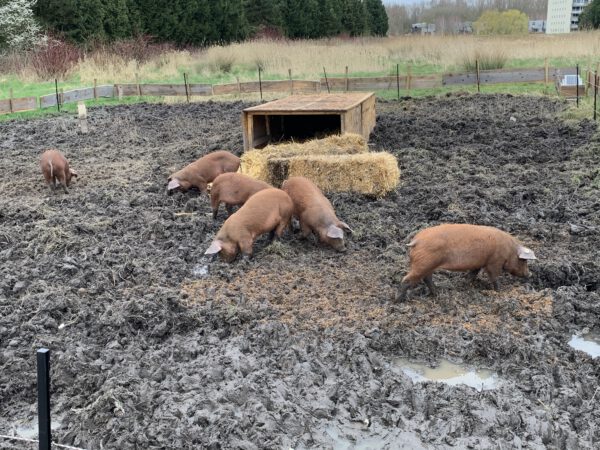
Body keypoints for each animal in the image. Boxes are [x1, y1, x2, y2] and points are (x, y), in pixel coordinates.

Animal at [396, 224, 536, 302]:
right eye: (523, 260)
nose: (530, 275)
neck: (509, 250)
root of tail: (415, 241)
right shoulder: (494, 262)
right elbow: (494, 277)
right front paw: (499, 291)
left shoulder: (478, 264)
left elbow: (472, 274)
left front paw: (466, 284)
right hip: (424, 263)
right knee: (407, 280)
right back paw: (399, 301)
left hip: (428, 265)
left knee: (427, 278)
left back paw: (437, 294)